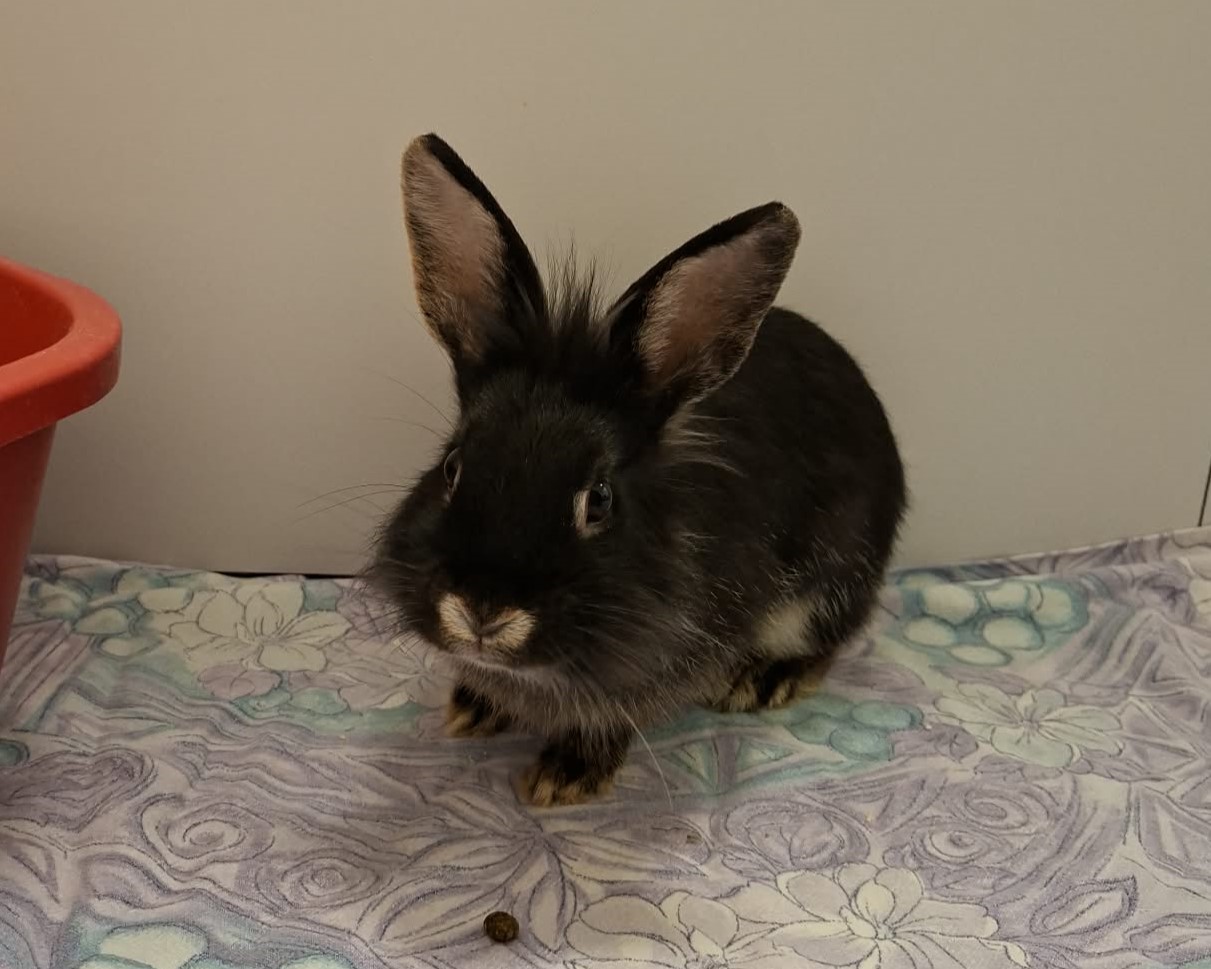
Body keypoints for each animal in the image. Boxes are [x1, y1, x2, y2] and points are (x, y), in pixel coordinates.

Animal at [371, 134, 906, 807]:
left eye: (598, 499)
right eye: (451, 466)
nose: (484, 611)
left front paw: (566, 774)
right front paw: (475, 706)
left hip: (831, 584)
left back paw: (763, 679)